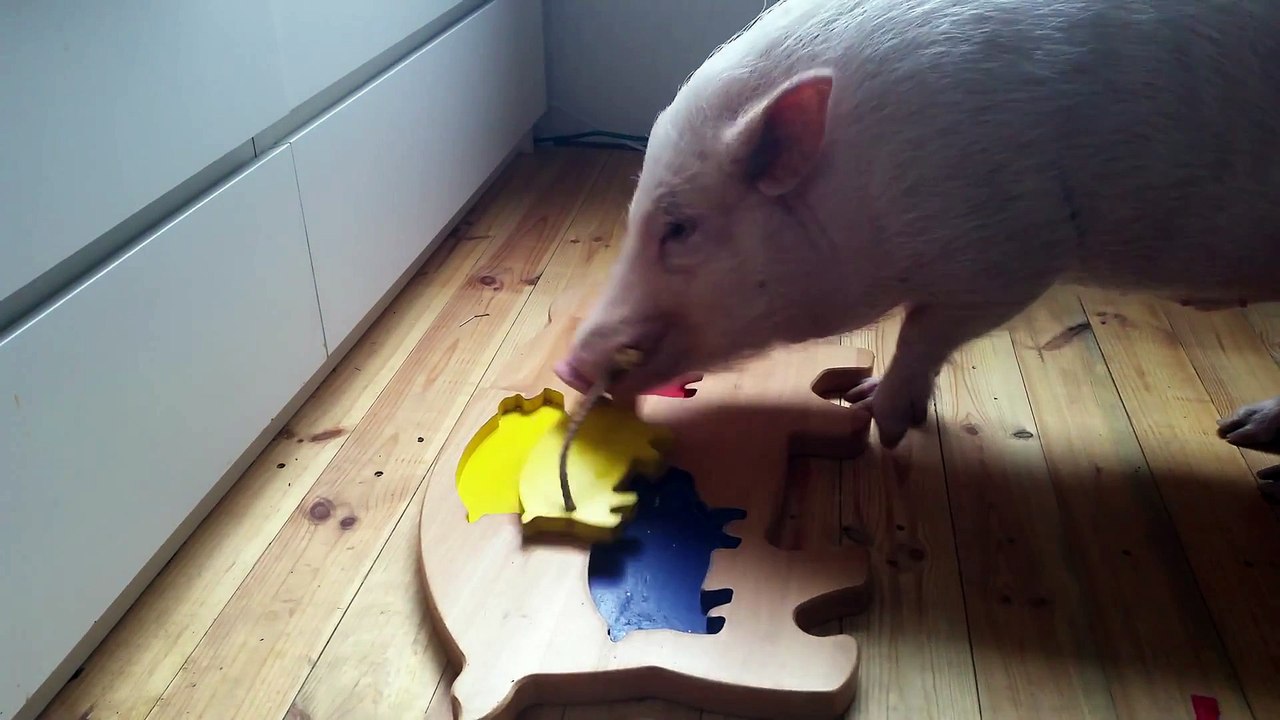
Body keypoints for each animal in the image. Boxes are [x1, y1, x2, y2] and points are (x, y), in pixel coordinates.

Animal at [552, 0, 1280, 493]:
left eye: (680, 228)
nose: (566, 367)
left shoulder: (1014, 248)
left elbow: (924, 329)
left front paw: (878, 416)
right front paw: (866, 401)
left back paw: (1243, 443)